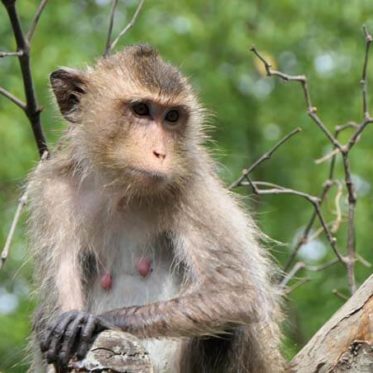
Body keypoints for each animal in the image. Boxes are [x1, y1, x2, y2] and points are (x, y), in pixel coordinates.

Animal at [27, 45, 284, 370]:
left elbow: (238, 294)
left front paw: (97, 320)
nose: (160, 153)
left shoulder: (194, 188)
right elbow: (56, 311)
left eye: (172, 116)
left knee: (228, 328)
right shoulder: (54, 193)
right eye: (141, 110)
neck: (122, 190)